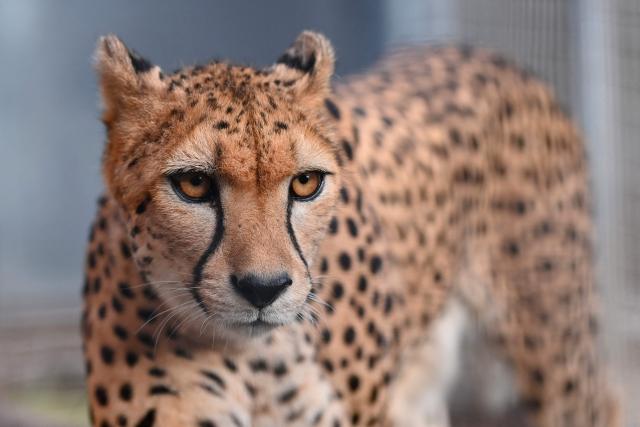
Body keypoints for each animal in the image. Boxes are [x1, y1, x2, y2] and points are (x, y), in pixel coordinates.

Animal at [82, 31, 620, 427]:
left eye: (305, 182)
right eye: (194, 184)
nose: (263, 289)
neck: (261, 361)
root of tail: (483, 54)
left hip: (554, 352)